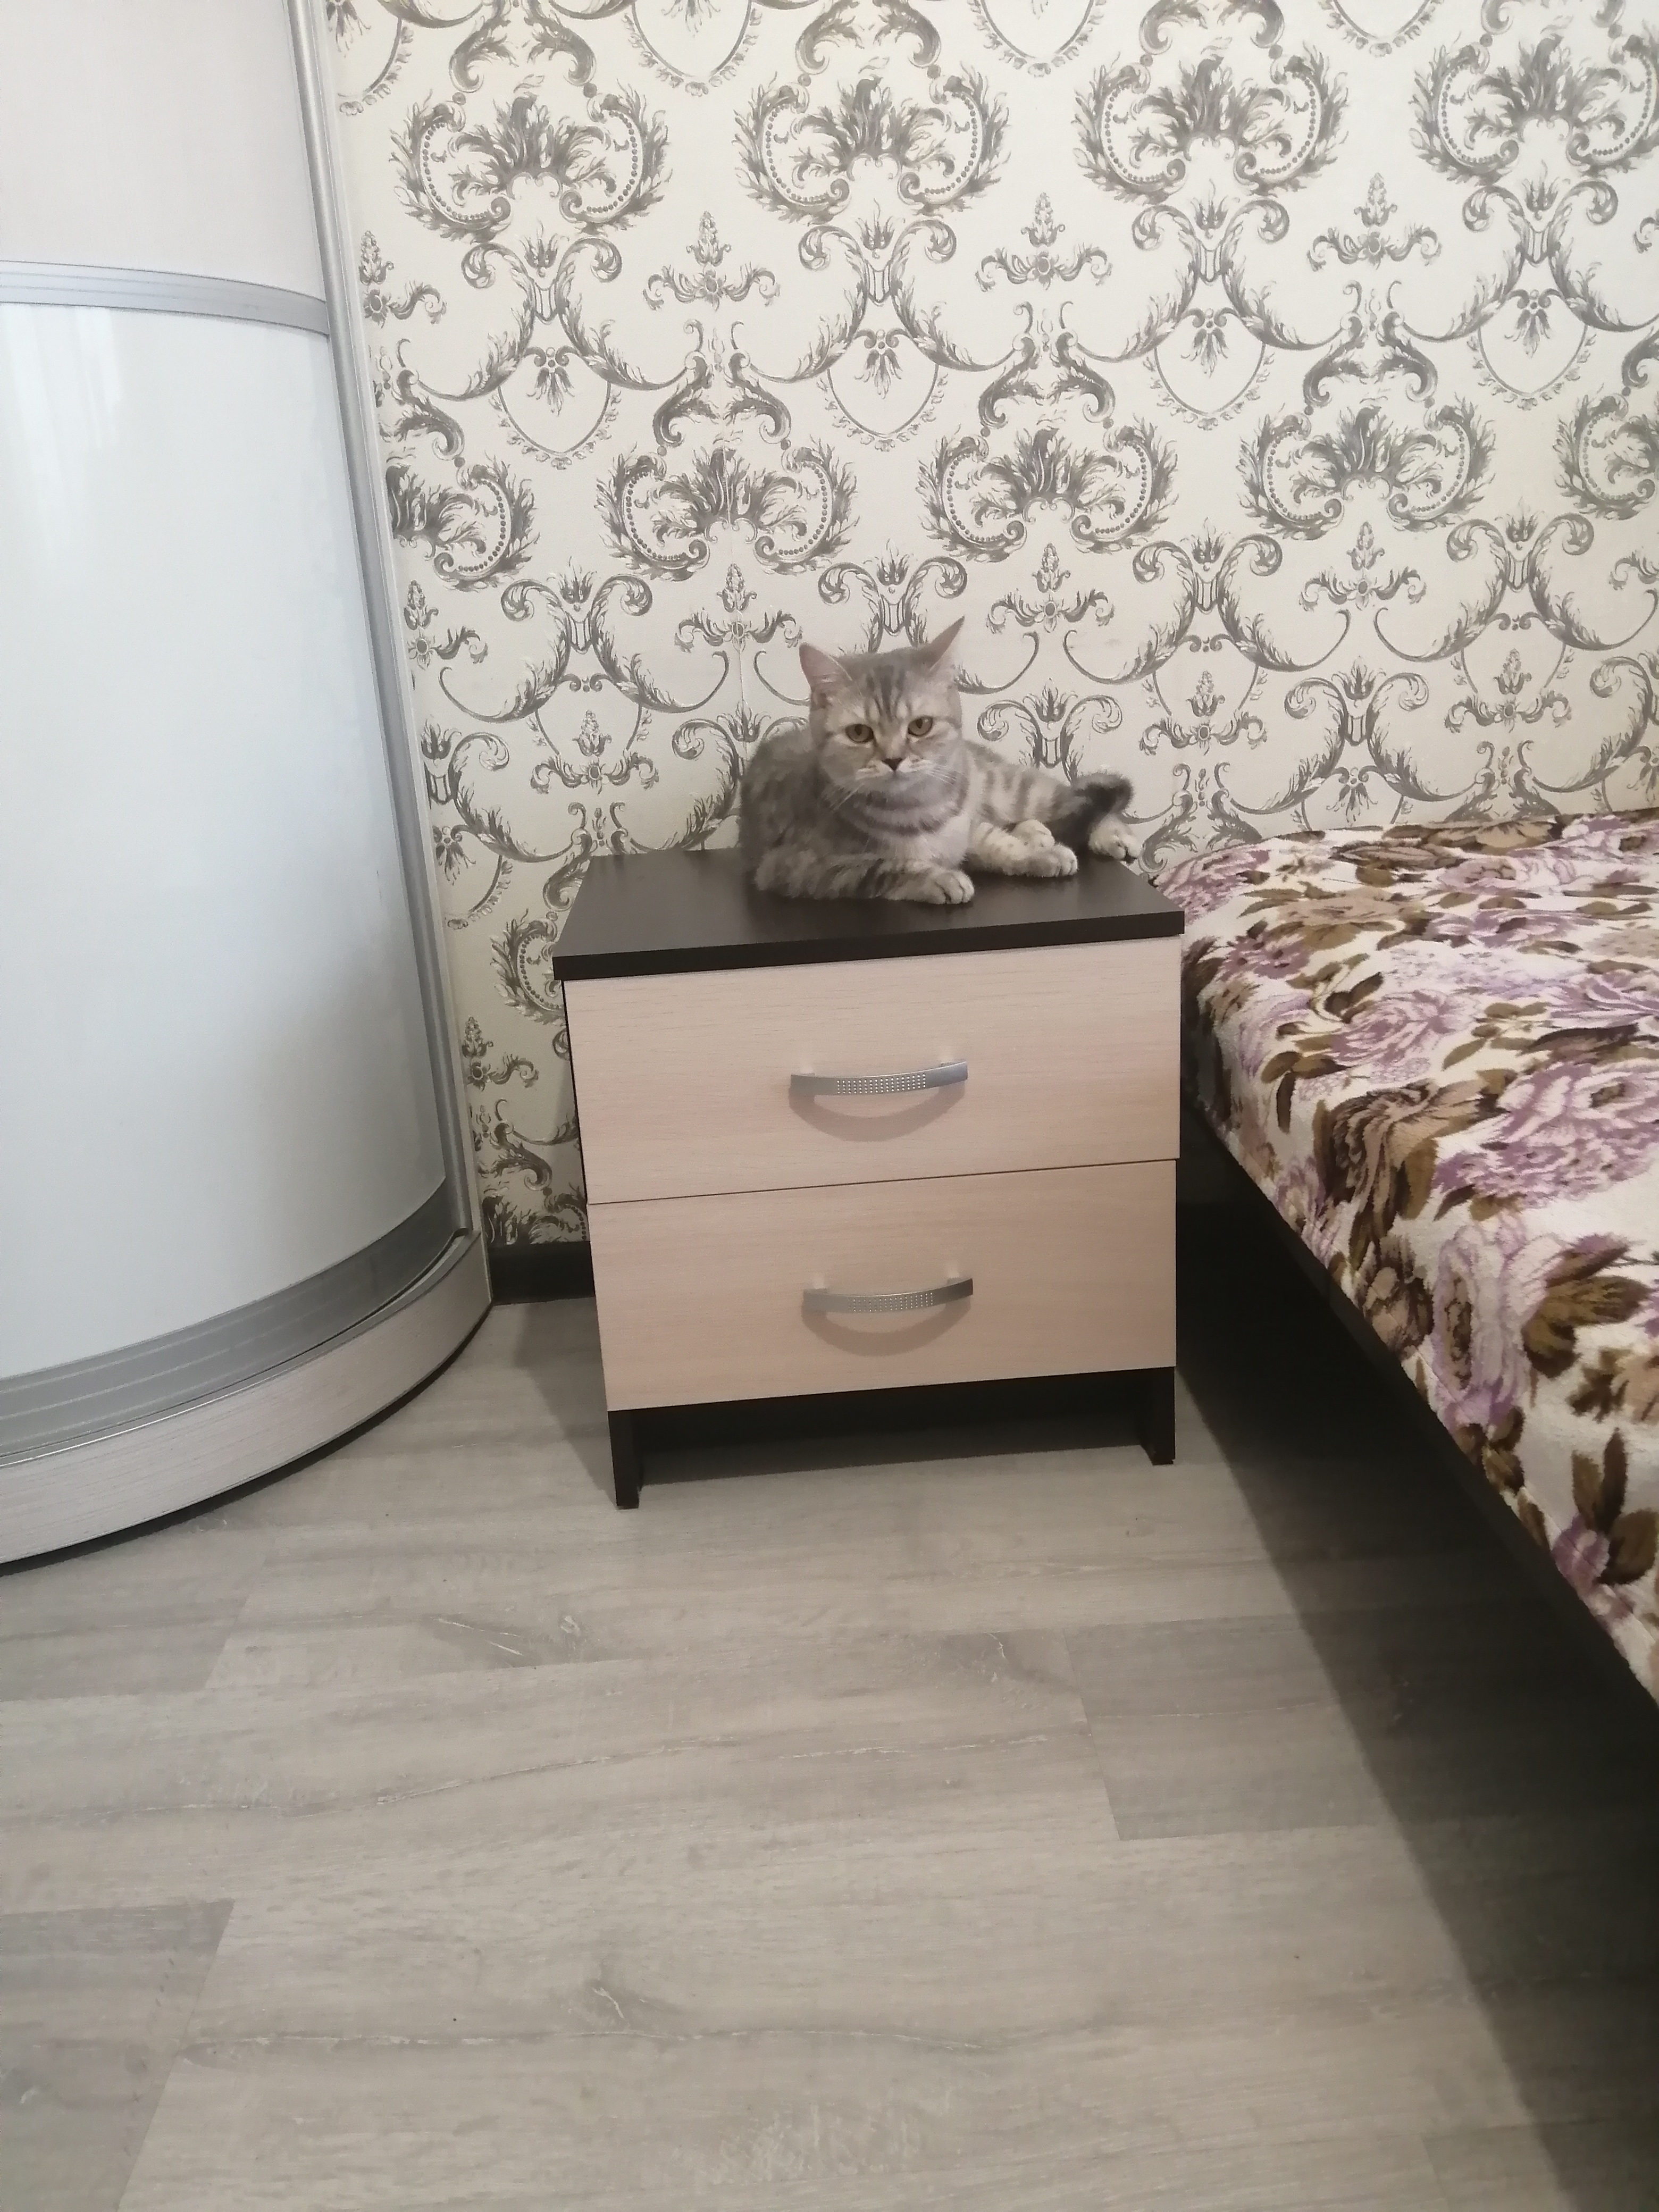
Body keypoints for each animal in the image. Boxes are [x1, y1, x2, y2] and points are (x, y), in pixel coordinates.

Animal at [738, 620, 1134, 904]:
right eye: (859, 733)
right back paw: (1038, 833)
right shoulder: (796, 866)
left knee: (1069, 798)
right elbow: (881, 866)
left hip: (1008, 787)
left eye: (920, 726)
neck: (919, 810)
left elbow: (994, 842)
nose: (893, 759)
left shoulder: (966, 824)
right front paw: (936, 877)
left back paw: (1107, 833)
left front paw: (1036, 856)